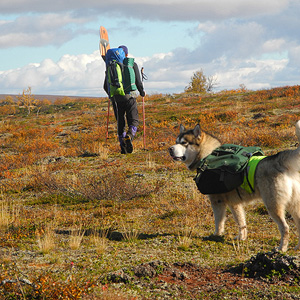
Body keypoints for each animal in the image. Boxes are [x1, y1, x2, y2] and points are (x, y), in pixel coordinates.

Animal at [170, 120, 300, 252]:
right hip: (294, 205)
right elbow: (241, 222)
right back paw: (297, 248)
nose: (170, 149)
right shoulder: (235, 203)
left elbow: (219, 221)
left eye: (184, 143)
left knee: (285, 227)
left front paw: (216, 235)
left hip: (273, 205)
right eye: (176, 142)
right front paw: (241, 237)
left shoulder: (217, 201)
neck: (207, 156)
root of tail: (278, 160)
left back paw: (282, 248)